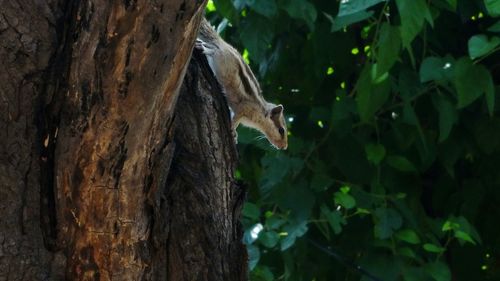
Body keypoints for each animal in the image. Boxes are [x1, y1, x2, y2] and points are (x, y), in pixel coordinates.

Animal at [196, 17, 290, 150]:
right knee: (212, 50)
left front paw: (235, 135)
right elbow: (236, 118)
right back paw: (203, 47)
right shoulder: (244, 108)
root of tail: (223, 43)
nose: (284, 147)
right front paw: (232, 128)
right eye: (281, 130)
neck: (262, 111)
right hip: (221, 59)